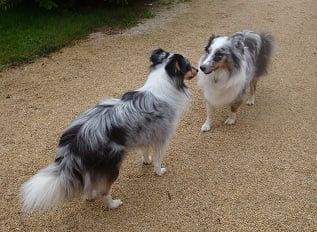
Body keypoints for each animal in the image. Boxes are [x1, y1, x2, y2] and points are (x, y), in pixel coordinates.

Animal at [20, 48, 195, 212]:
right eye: (187, 65)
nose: (198, 70)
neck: (163, 82)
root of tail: (76, 140)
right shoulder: (162, 138)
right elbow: (158, 160)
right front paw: (159, 171)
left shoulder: (145, 133)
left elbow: (145, 151)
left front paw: (146, 161)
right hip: (111, 165)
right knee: (103, 190)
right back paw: (113, 204)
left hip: (91, 166)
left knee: (88, 185)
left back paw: (89, 197)